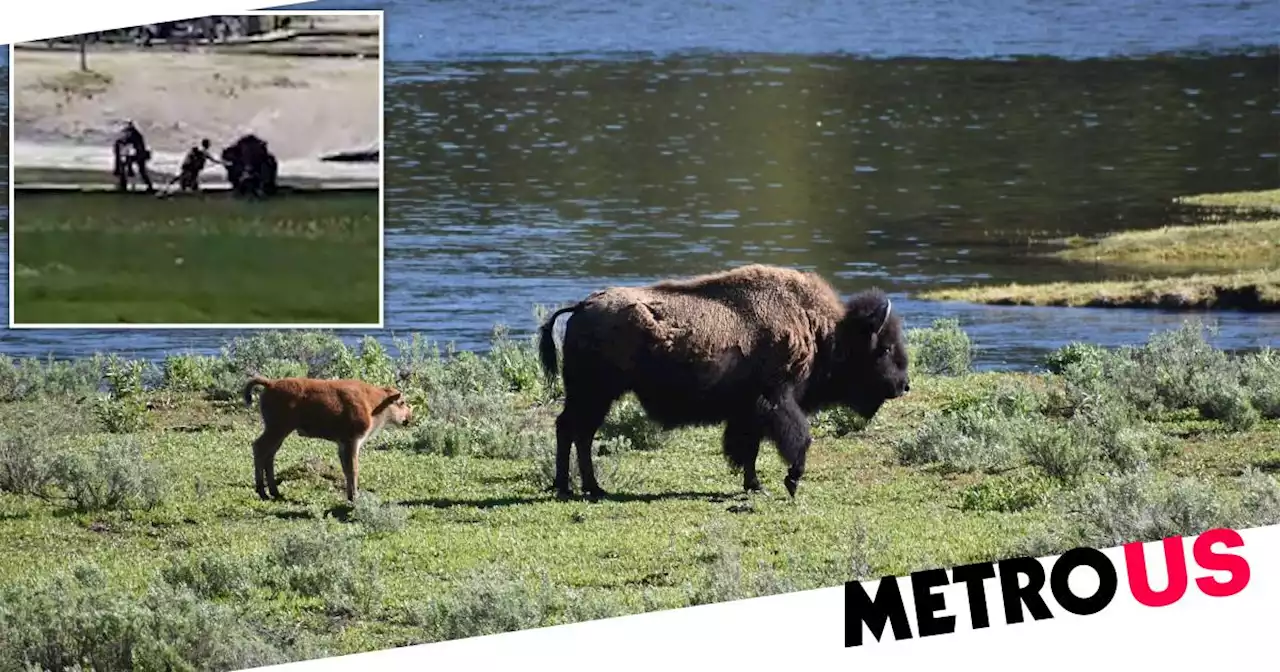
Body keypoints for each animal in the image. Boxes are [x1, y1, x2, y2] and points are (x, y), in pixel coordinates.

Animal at [240, 373, 414, 499]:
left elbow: (346, 469)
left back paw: (275, 492)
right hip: (277, 429)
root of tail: (270, 383)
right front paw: (355, 497)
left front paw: (350, 496)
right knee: (259, 448)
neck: (374, 403)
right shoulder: (352, 442)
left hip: (280, 433)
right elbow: (353, 468)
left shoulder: (342, 444)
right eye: (402, 402)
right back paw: (263, 493)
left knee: (269, 454)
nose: (409, 417)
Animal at [537, 264, 911, 499]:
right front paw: (790, 481)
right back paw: (572, 488)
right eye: (884, 348)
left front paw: (755, 485)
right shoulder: (776, 401)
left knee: (577, 432)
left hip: (593, 396)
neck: (821, 330)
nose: (903, 385)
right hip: (594, 394)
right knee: (573, 430)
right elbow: (798, 439)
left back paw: (587, 488)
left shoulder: (749, 412)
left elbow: (749, 449)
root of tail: (582, 306)